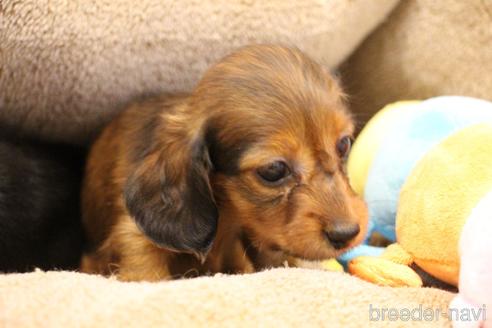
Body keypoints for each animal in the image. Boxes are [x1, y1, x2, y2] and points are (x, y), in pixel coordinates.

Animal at [80, 44, 368, 282]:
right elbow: (145, 268)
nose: (346, 233)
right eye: (273, 170)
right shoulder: (133, 237)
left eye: (344, 144)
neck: (227, 216)